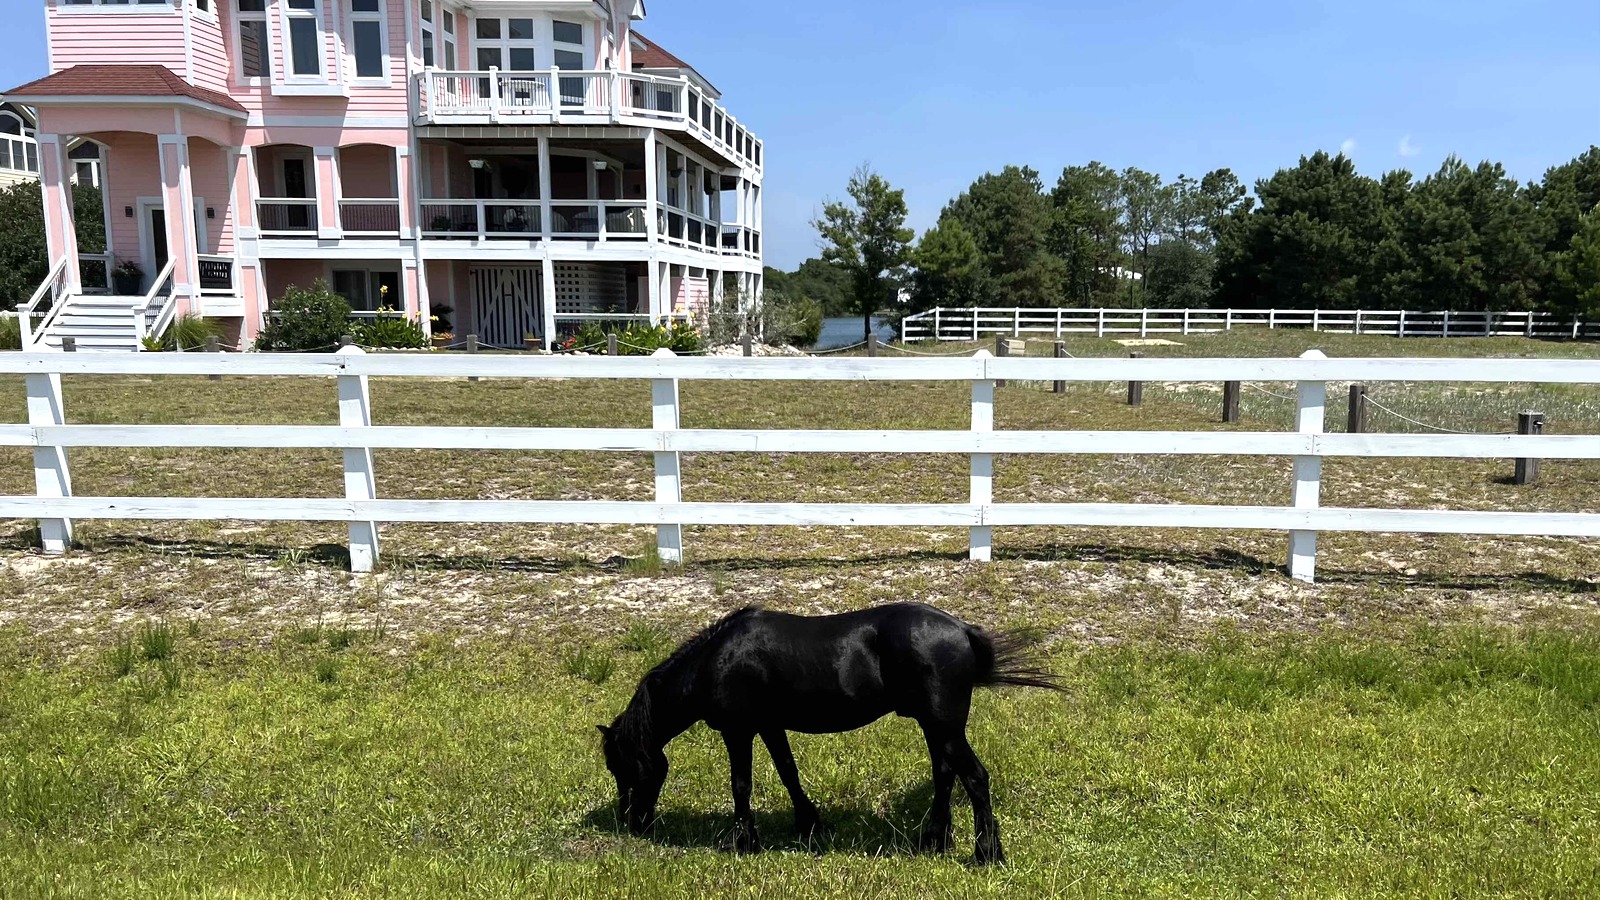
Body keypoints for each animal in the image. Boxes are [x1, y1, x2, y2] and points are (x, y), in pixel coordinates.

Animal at [598, 603, 1062, 865]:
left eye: (624, 768)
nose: (632, 822)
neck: (718, 658)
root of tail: (961, 628)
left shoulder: (738, 730)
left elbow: (741, 784)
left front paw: (745, 842)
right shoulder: (769, 725)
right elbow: (788, 772)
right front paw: (808, 824)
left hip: (944, 727)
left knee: (975, 779)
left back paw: (987, 855)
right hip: (934, 726)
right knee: (945, 777)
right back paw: (932, 841)